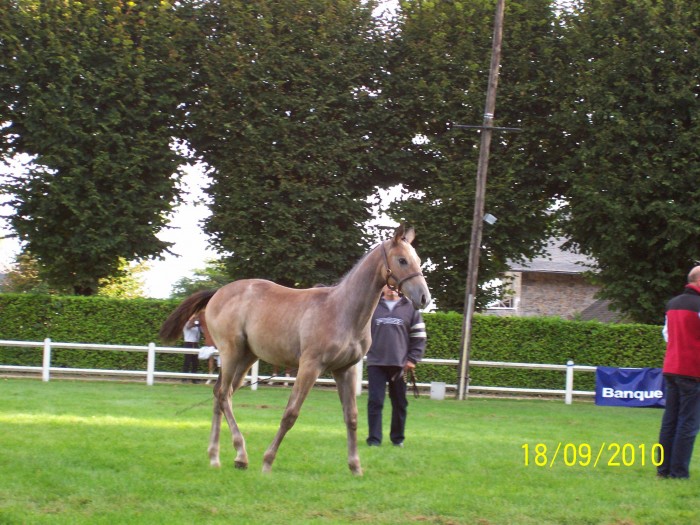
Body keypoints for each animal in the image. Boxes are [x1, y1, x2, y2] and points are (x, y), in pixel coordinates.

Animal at [159, 224, 431, 475]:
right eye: (402, 260)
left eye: (418, 259)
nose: (424, 298)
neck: (343, 311)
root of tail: (218, 293)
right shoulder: (310, 366)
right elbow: (290, 414)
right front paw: (267, 462)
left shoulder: (345, 369)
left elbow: (351, 417)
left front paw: (355, 467)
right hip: (231, 353)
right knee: (224, 395)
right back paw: (240, 454)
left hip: (246, 358)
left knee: (220, 395)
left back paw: (217, 458)